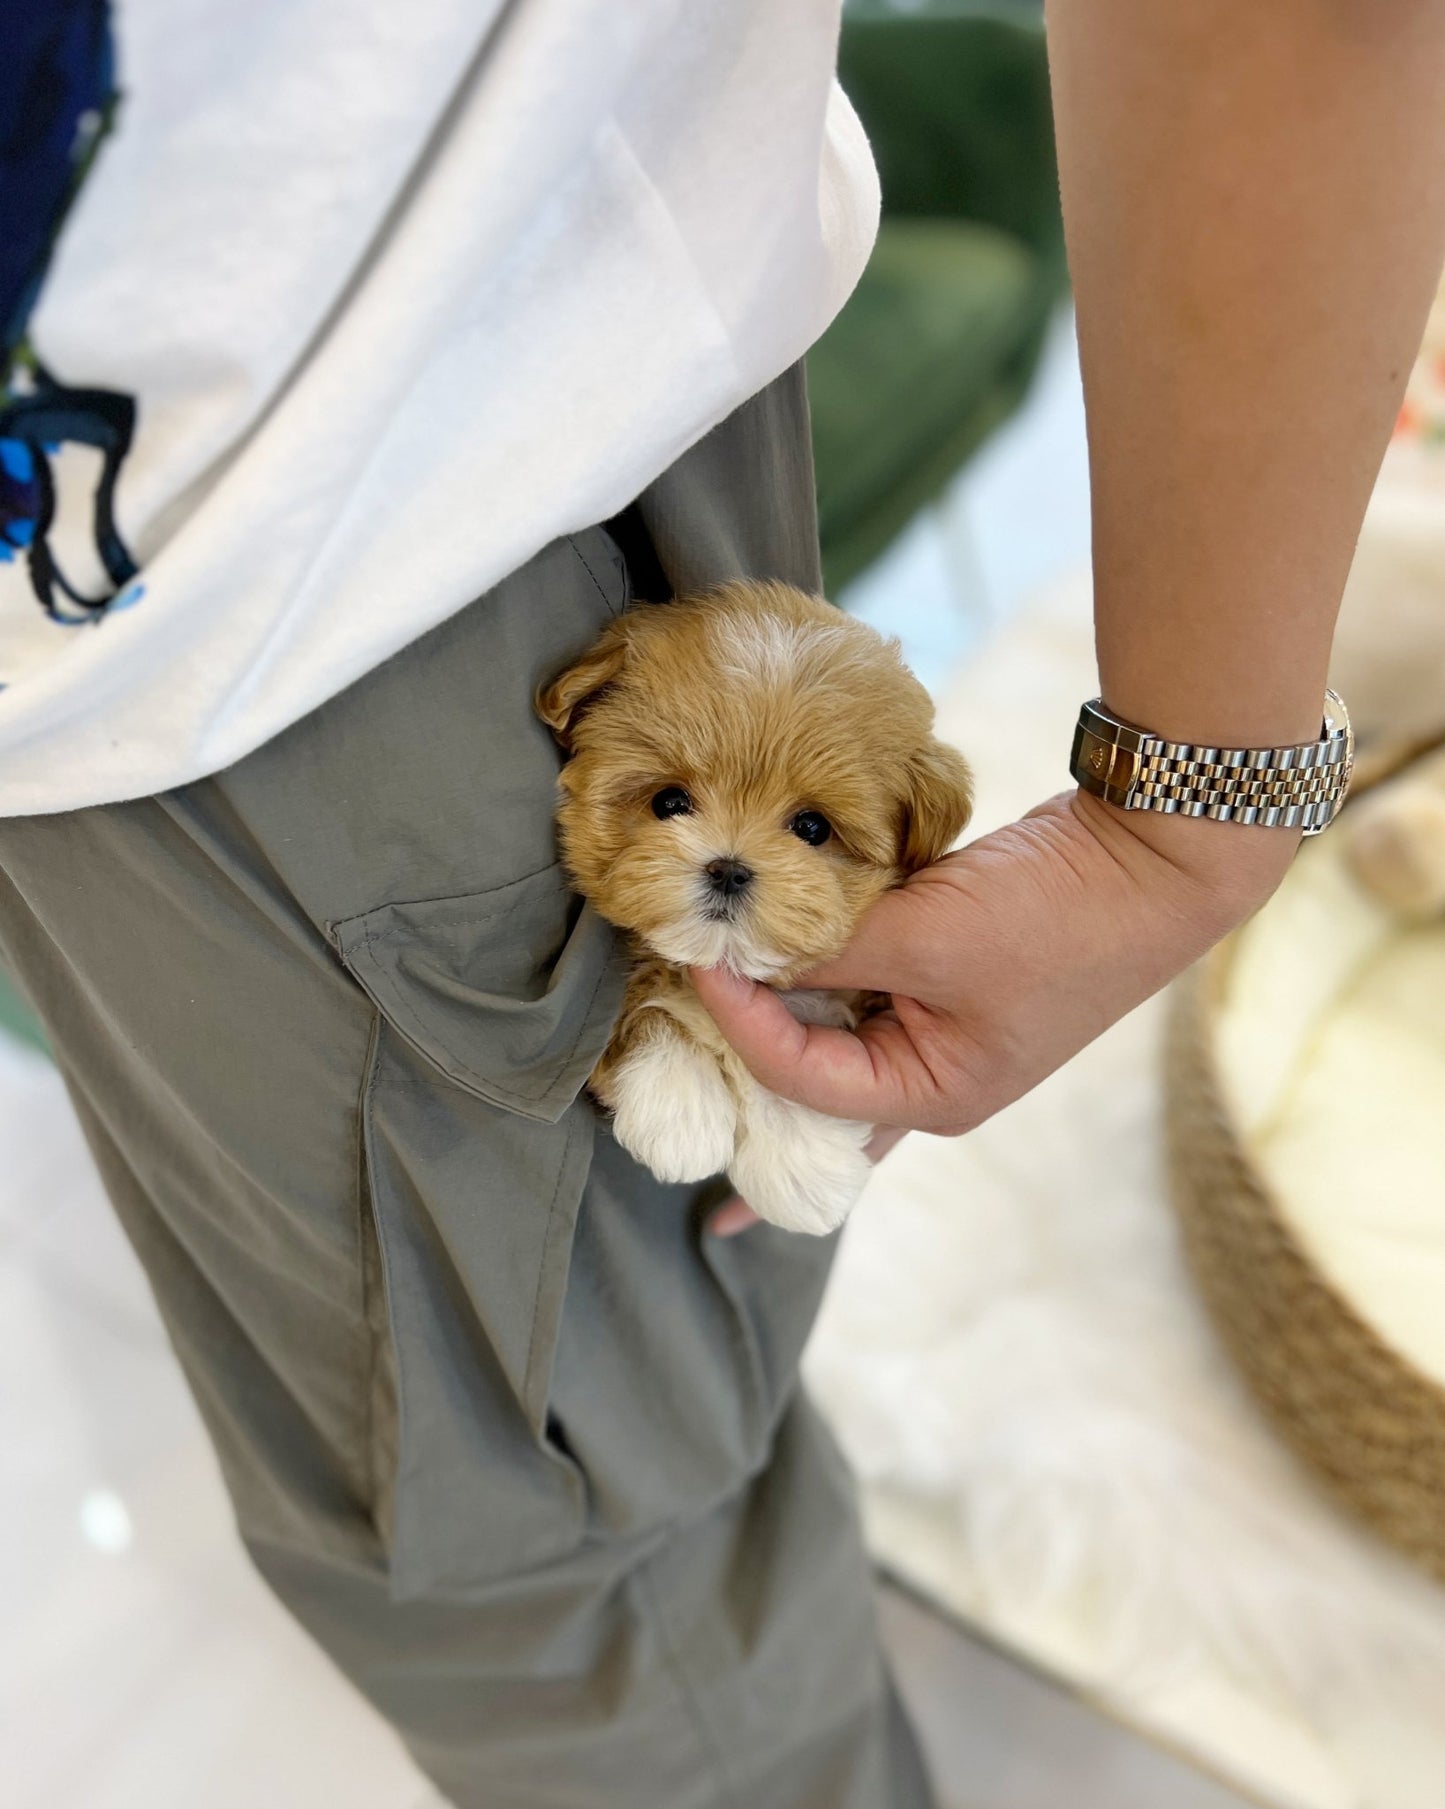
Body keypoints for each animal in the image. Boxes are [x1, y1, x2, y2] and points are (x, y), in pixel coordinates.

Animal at [535, 578, 976, 1230]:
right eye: (669, 802)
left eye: (813, 828)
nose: (728, 868)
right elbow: (642, 1012)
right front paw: (678, 1109)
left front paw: (802, 1162)